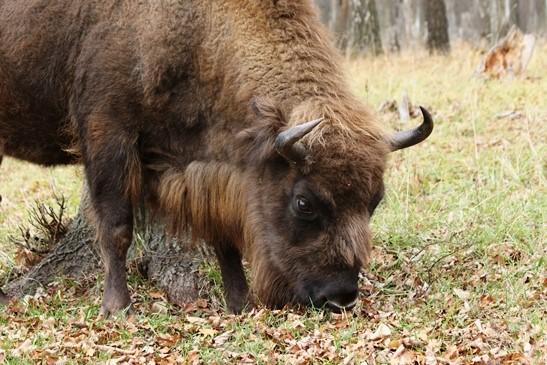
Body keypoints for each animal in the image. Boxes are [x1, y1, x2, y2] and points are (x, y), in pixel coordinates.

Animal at [2, 0, 434, 314]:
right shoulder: (108, 134)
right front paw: (117, 308)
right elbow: (116, 228)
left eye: (374, 201)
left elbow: (223, 234)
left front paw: (239, 304)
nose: (340, 296)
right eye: (304, 202)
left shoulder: (211, 165)